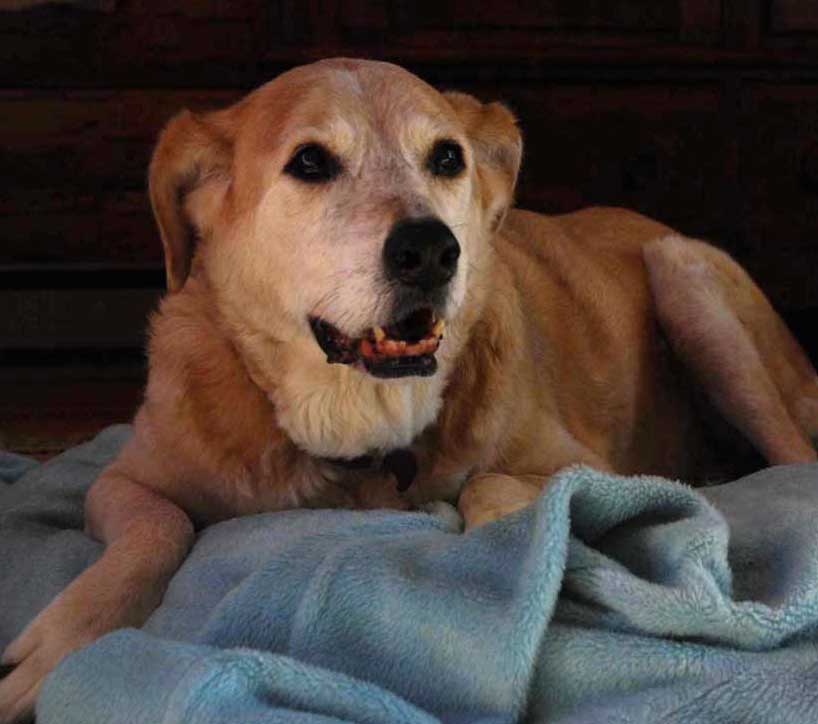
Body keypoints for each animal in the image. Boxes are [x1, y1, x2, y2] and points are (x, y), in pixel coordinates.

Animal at [1, 59, 816, 720]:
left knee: (792, 459)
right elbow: (158, 527)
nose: (431, 250)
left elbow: (494, 489)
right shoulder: (124, 479)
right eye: (310, 161)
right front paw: (59, 644)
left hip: (687, 276)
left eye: (447, 157)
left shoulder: (586, 464)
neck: (356, 425)